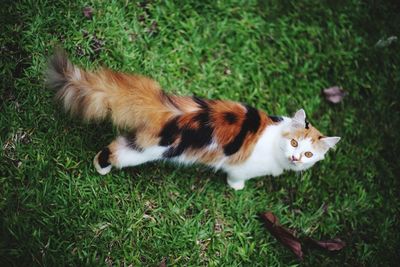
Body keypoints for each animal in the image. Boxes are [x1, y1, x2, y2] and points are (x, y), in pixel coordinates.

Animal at [47, 49, 340, 191]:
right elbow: (236, 177)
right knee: (113, 153)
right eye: (294, 144)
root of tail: (169, 107)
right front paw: (237, 188)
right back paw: (102, 169)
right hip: (145, 152)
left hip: (139, 144)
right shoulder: (241, 167)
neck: (274, 138)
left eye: (309, 154)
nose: (296, 158)